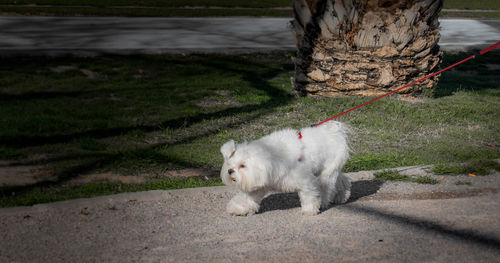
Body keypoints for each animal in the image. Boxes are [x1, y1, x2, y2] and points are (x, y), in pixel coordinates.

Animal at [219, 121, 352, 217]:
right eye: (230, 164)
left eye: (242, 166)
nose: (230, 171)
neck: (271, 156)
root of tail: (334, 131)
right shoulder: (261, 183)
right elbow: (247, 198)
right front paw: (238, 209)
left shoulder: (304, 180)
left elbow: (309, 195)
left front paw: (309, 210)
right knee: (341, 181)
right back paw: (343, 196)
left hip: (327, 172)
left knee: (327, 187)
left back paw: (324, 202)